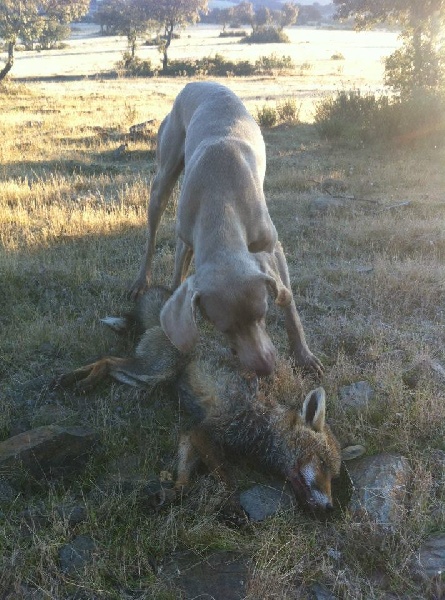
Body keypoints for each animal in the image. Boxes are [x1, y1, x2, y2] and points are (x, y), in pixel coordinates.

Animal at [128, 82, 322, 378]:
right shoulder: (189, 235)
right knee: (152, 237)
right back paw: (141, 282)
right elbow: (177, 278)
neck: (220, 199)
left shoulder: (272, 247)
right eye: (224, 328)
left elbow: (289, 304)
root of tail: (195, 83)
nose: (265, 368)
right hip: (163, 181)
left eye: (263, 314)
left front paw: (303, 355)